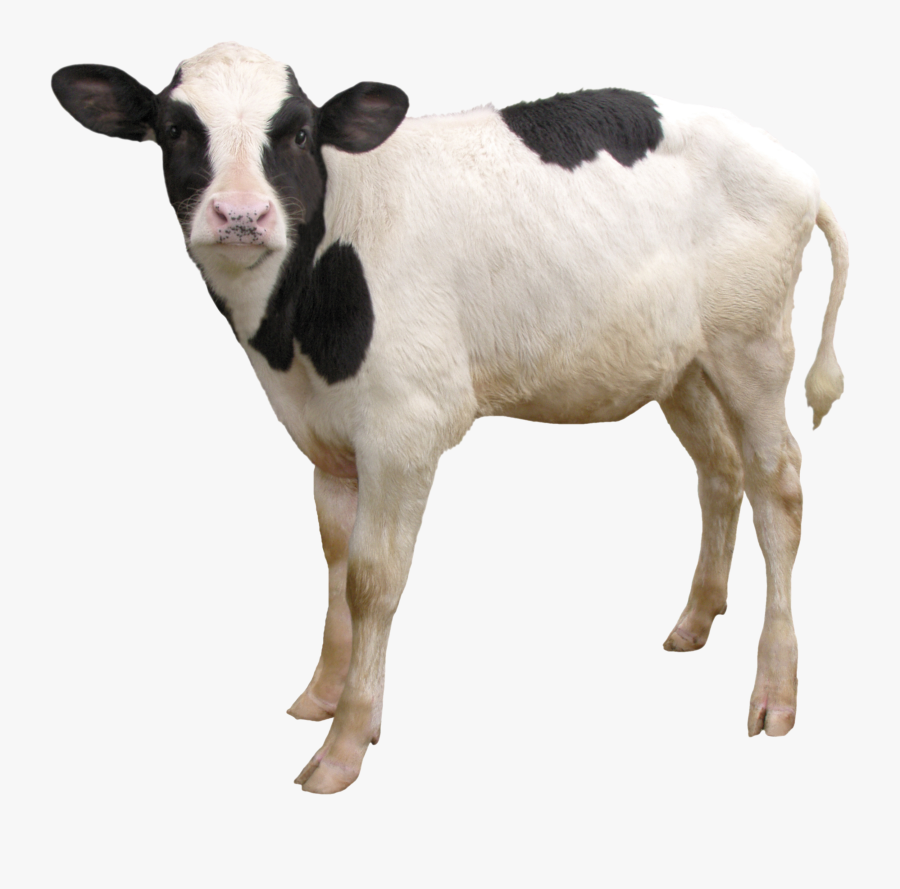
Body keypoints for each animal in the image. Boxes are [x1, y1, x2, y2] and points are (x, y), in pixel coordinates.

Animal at [52, 42, 847, 794]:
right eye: (175, 129)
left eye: (299, 131)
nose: (241, 215)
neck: (292, 332)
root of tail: (793, 168)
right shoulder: (327, 439)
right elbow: (335, 562)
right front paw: (324, 694)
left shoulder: (404, 429)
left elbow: (372, 580)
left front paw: (346, 742)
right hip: (683, 365)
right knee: (719, 473)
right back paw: (695, 619)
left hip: (753, 347)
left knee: (778, 489)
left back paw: (775, 691)